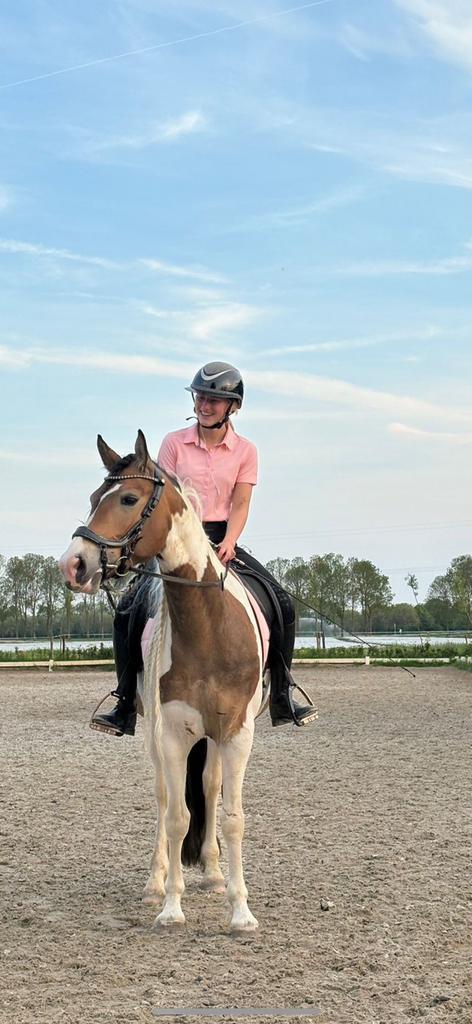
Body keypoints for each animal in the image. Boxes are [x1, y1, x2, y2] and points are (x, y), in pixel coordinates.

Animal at [59, 430, 269, 932]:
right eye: (94, 499)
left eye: (129, 498)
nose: (73, 565)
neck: (208, 626)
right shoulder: (171, 732)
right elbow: (176, 816)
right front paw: (172, 906)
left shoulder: (237, 733)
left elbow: (232, 817)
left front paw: (241, 912)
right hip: (155, 732)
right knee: (162, 797)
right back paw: (156, 884)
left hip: (213, 737)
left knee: (209, 787)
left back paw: (213, 874)